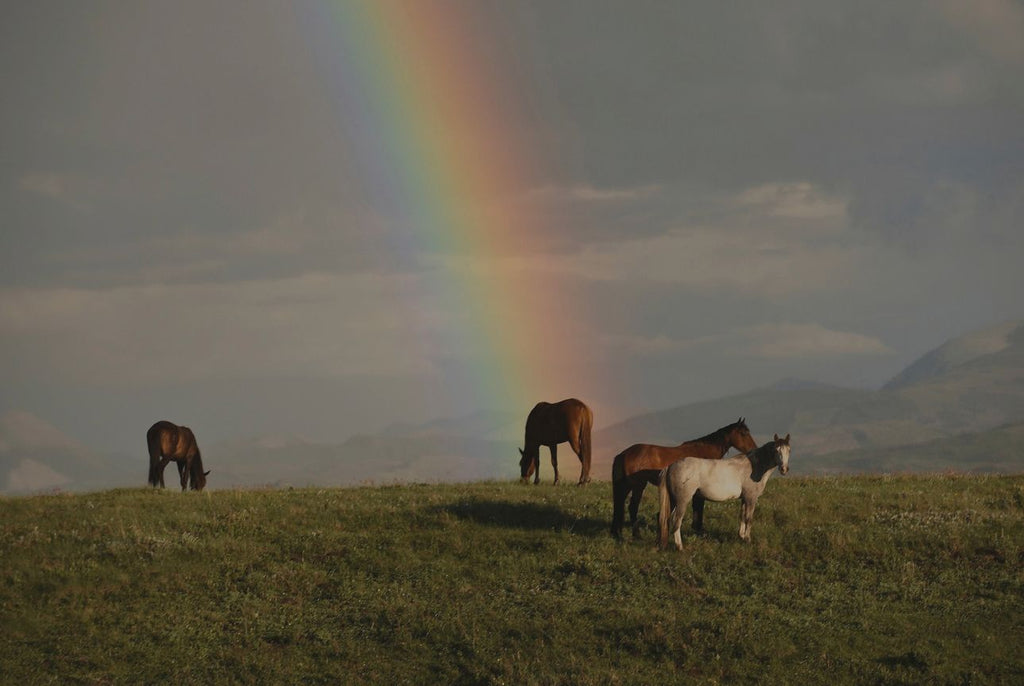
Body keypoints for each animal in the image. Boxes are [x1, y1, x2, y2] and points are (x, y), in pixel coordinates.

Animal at [606, 415, 761, 540]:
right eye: (743, 433)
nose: (754, 449)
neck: (703, 453)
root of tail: (624, 453)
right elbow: (698, 508)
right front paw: (699, 530)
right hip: (638, 485)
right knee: (632, 507)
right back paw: (636, 535)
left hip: (626, 486)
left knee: (619, 505)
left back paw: (617, 533)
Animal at [655, 436, 790, 552]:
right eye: (776, 450)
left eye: (789, 450)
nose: (784, 469)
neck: (754, 466)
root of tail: (671, 466)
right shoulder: (751, 498)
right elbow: (749, 518)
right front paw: (747, 540)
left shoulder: (744, 499)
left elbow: (742, 516)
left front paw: (741, 536)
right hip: (682, 501)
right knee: (676, 521)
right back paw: (680, 547)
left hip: (673, 501)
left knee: (666, 518)